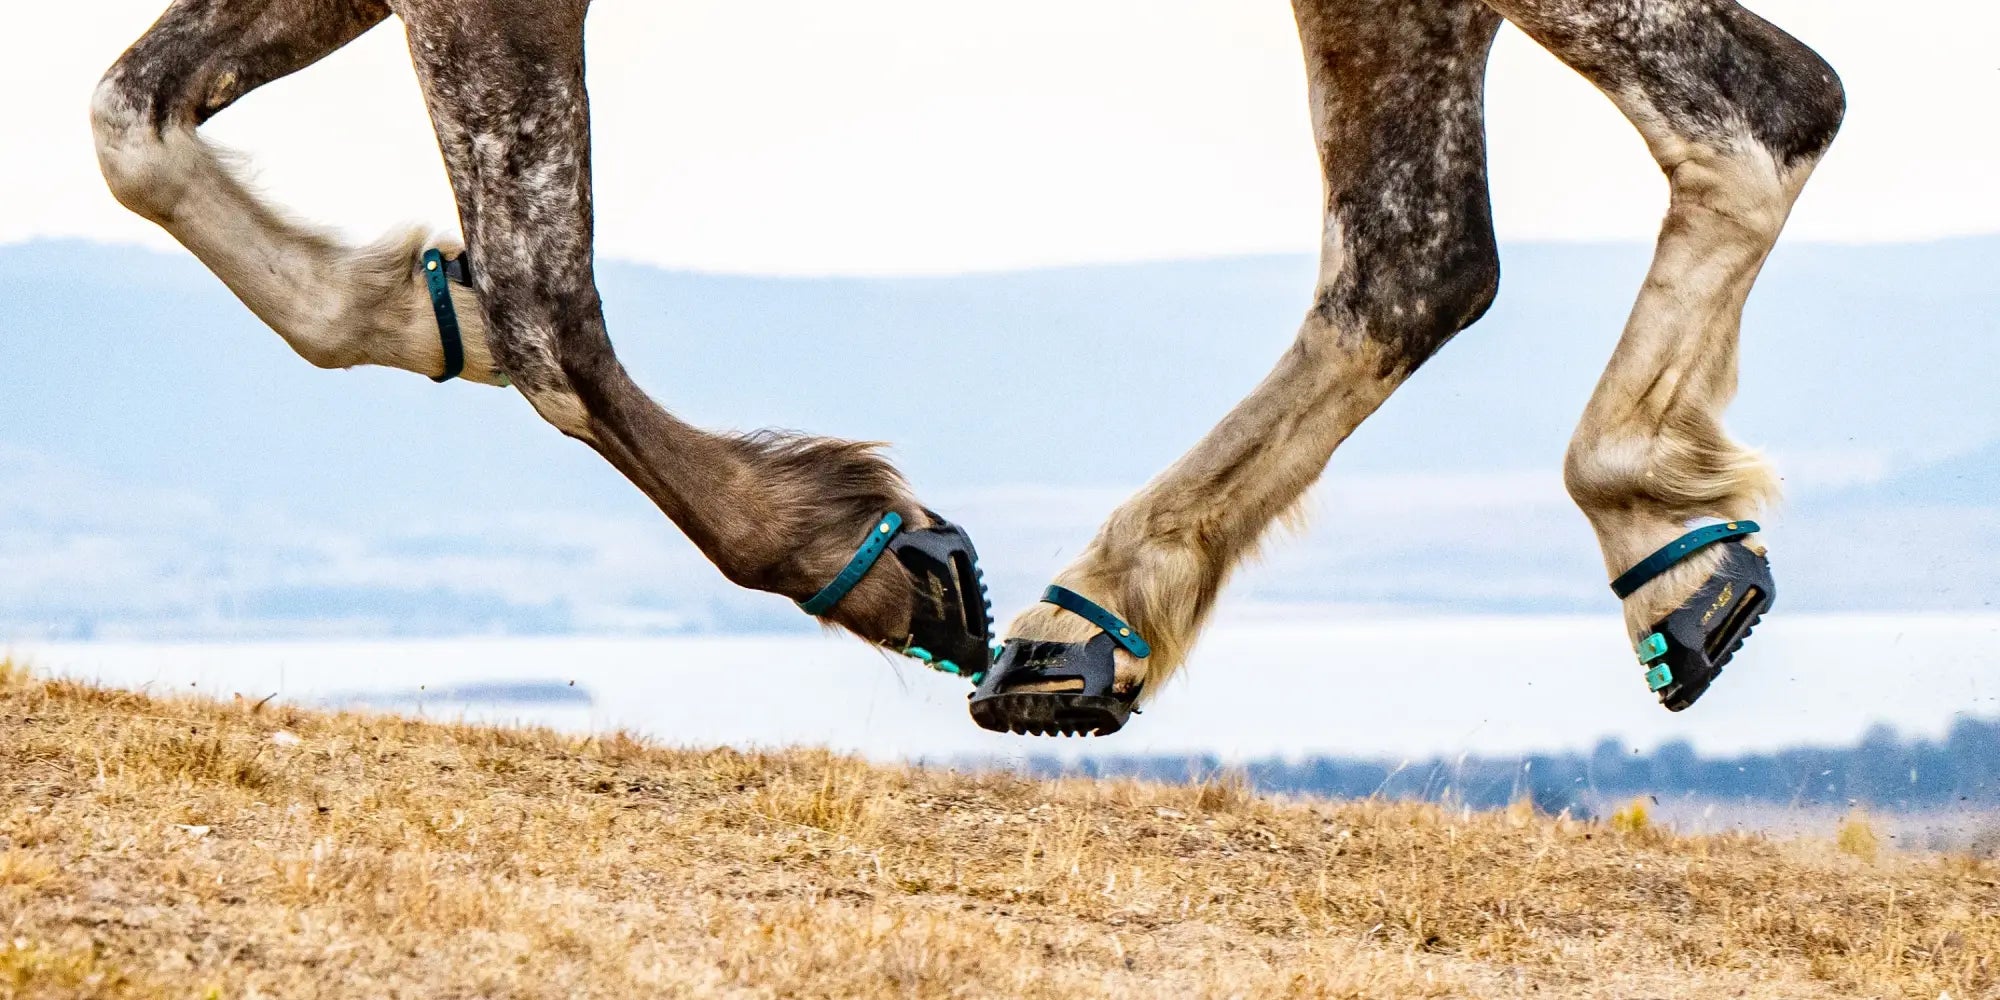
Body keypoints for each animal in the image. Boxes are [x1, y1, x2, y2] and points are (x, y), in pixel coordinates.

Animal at [92, 0, 1842, 736]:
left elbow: (538, 296)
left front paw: (870, 558)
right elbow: (132, 123)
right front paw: (404, 303)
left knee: (1749, 105)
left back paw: (1661, 524)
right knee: (1420, 250)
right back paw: (1096, 626)